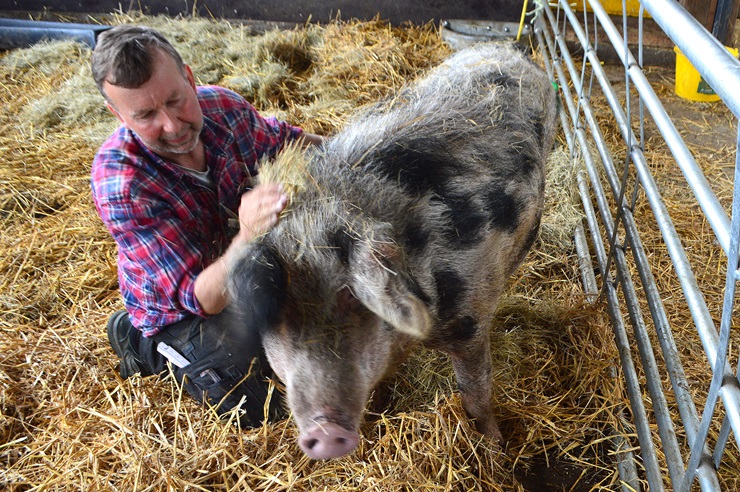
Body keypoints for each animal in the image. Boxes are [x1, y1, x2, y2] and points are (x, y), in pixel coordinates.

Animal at [228, 40, 556, 460]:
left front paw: (494, 447)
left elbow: (475, 391)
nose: (326, 431)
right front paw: (377, 414)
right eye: (280, 310)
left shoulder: (472, 320)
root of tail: (504, 47)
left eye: (351, 296)